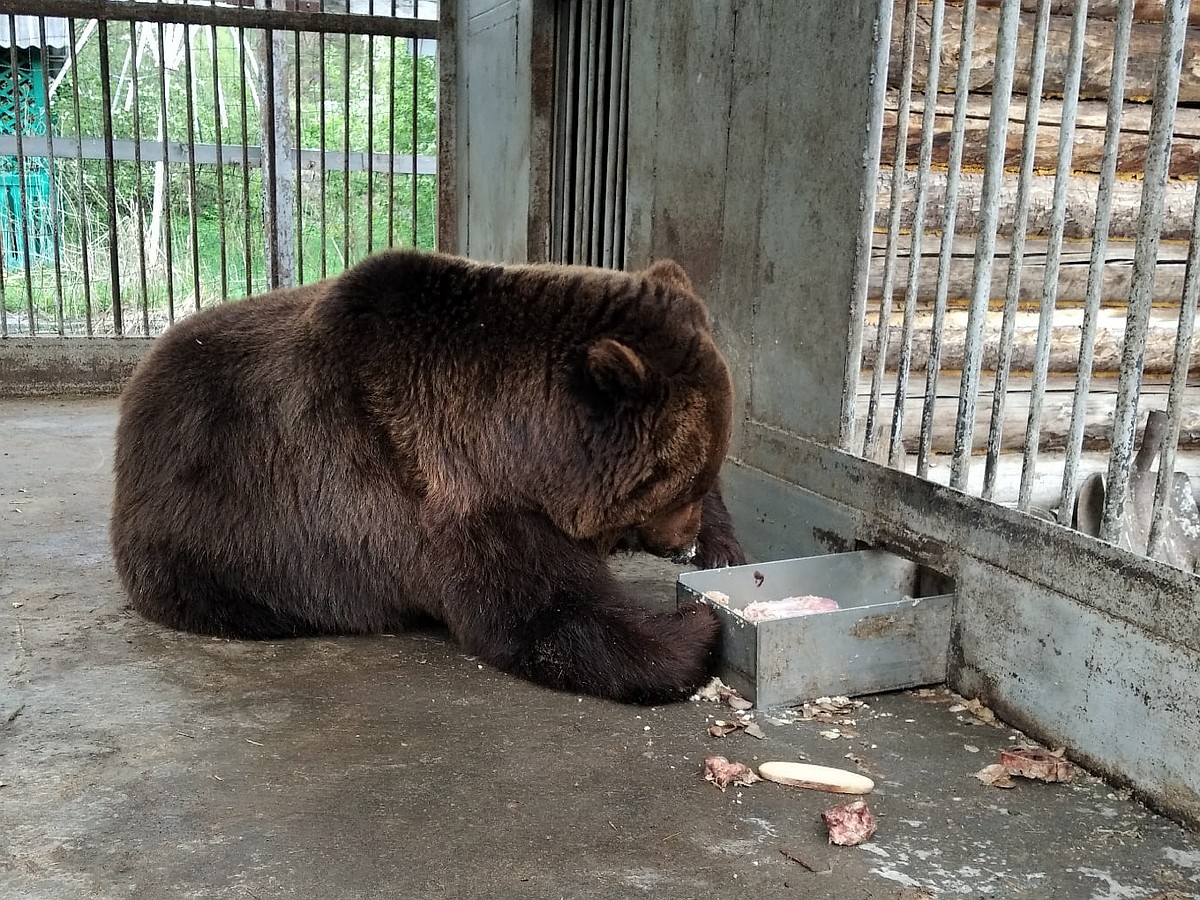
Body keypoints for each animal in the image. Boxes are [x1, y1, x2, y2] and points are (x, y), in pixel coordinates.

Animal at [114, 250, 748, 710]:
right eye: (675, 485)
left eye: (699, 477)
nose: (680, 543)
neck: (519, 443)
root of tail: (136, 390)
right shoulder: (436, 498)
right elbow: (544, 614)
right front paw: (695, 628)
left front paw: (723, 551)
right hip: (208, 533)